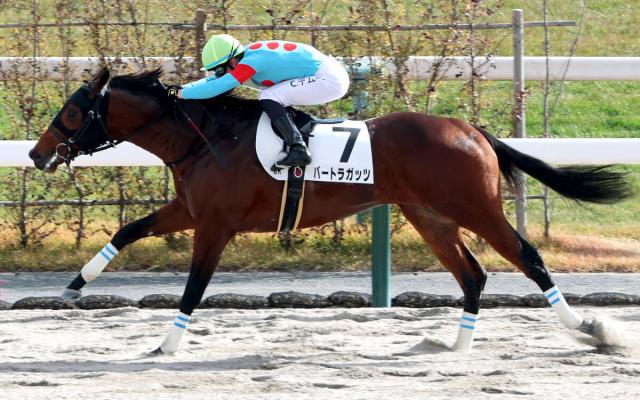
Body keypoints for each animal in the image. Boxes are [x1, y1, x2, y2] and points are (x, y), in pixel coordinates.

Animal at [29, 67, 632, 354]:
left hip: (475, 207)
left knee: (527, 257)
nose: (36, 154)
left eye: (73, 111)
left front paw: (167, 344)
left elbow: (194, 288)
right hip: (429, 215)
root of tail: (473, 131)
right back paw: (455, 345)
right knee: (473, 274)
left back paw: (588, 329)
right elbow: (128, 229)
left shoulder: (216, 225)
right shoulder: (190, 210)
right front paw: (74, 286)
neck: (205, 138)